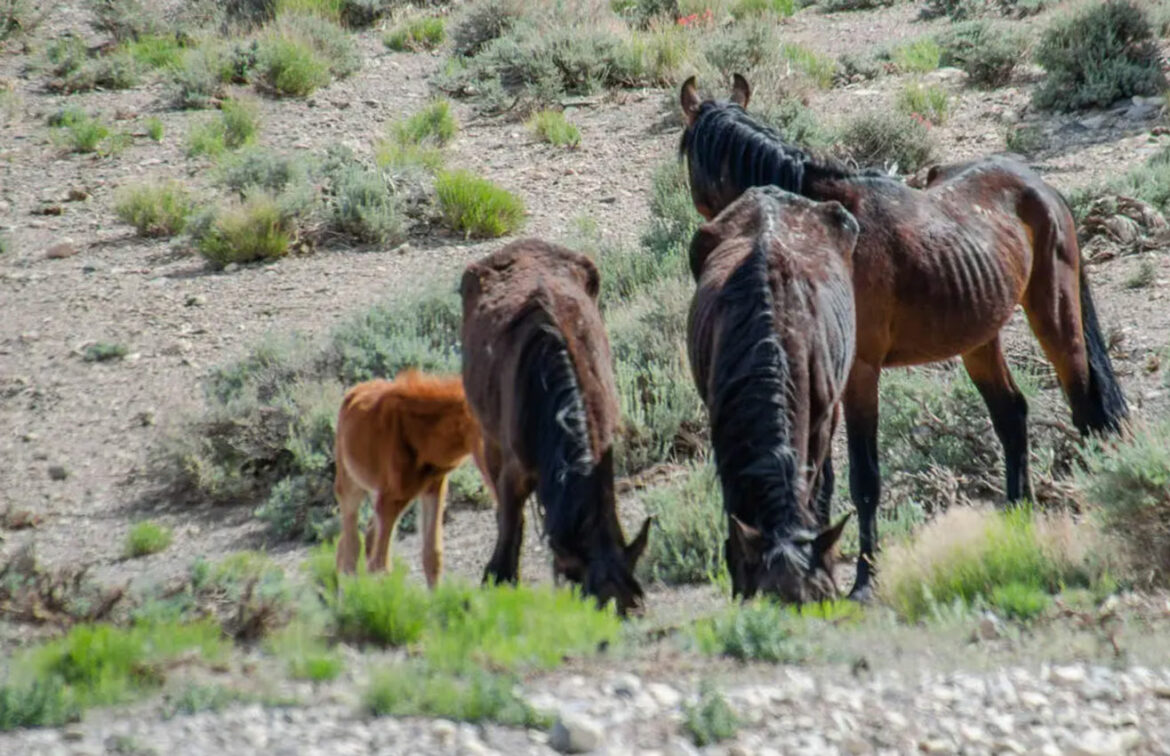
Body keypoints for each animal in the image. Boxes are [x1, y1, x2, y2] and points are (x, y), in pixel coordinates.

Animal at [334, 369, 493, 589]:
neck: (421, 435)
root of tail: (353, 392)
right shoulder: (390, 499)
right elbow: (381, 564)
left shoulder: (434, 488)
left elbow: (432, 555)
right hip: (351, 486)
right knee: (350, 550)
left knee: (360, 540)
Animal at [460, 239, 655, 617]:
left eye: (634, 607)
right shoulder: (515, 469)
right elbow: (511, 521)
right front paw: (499, 577)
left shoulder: (603, 450)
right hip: (488, 435)